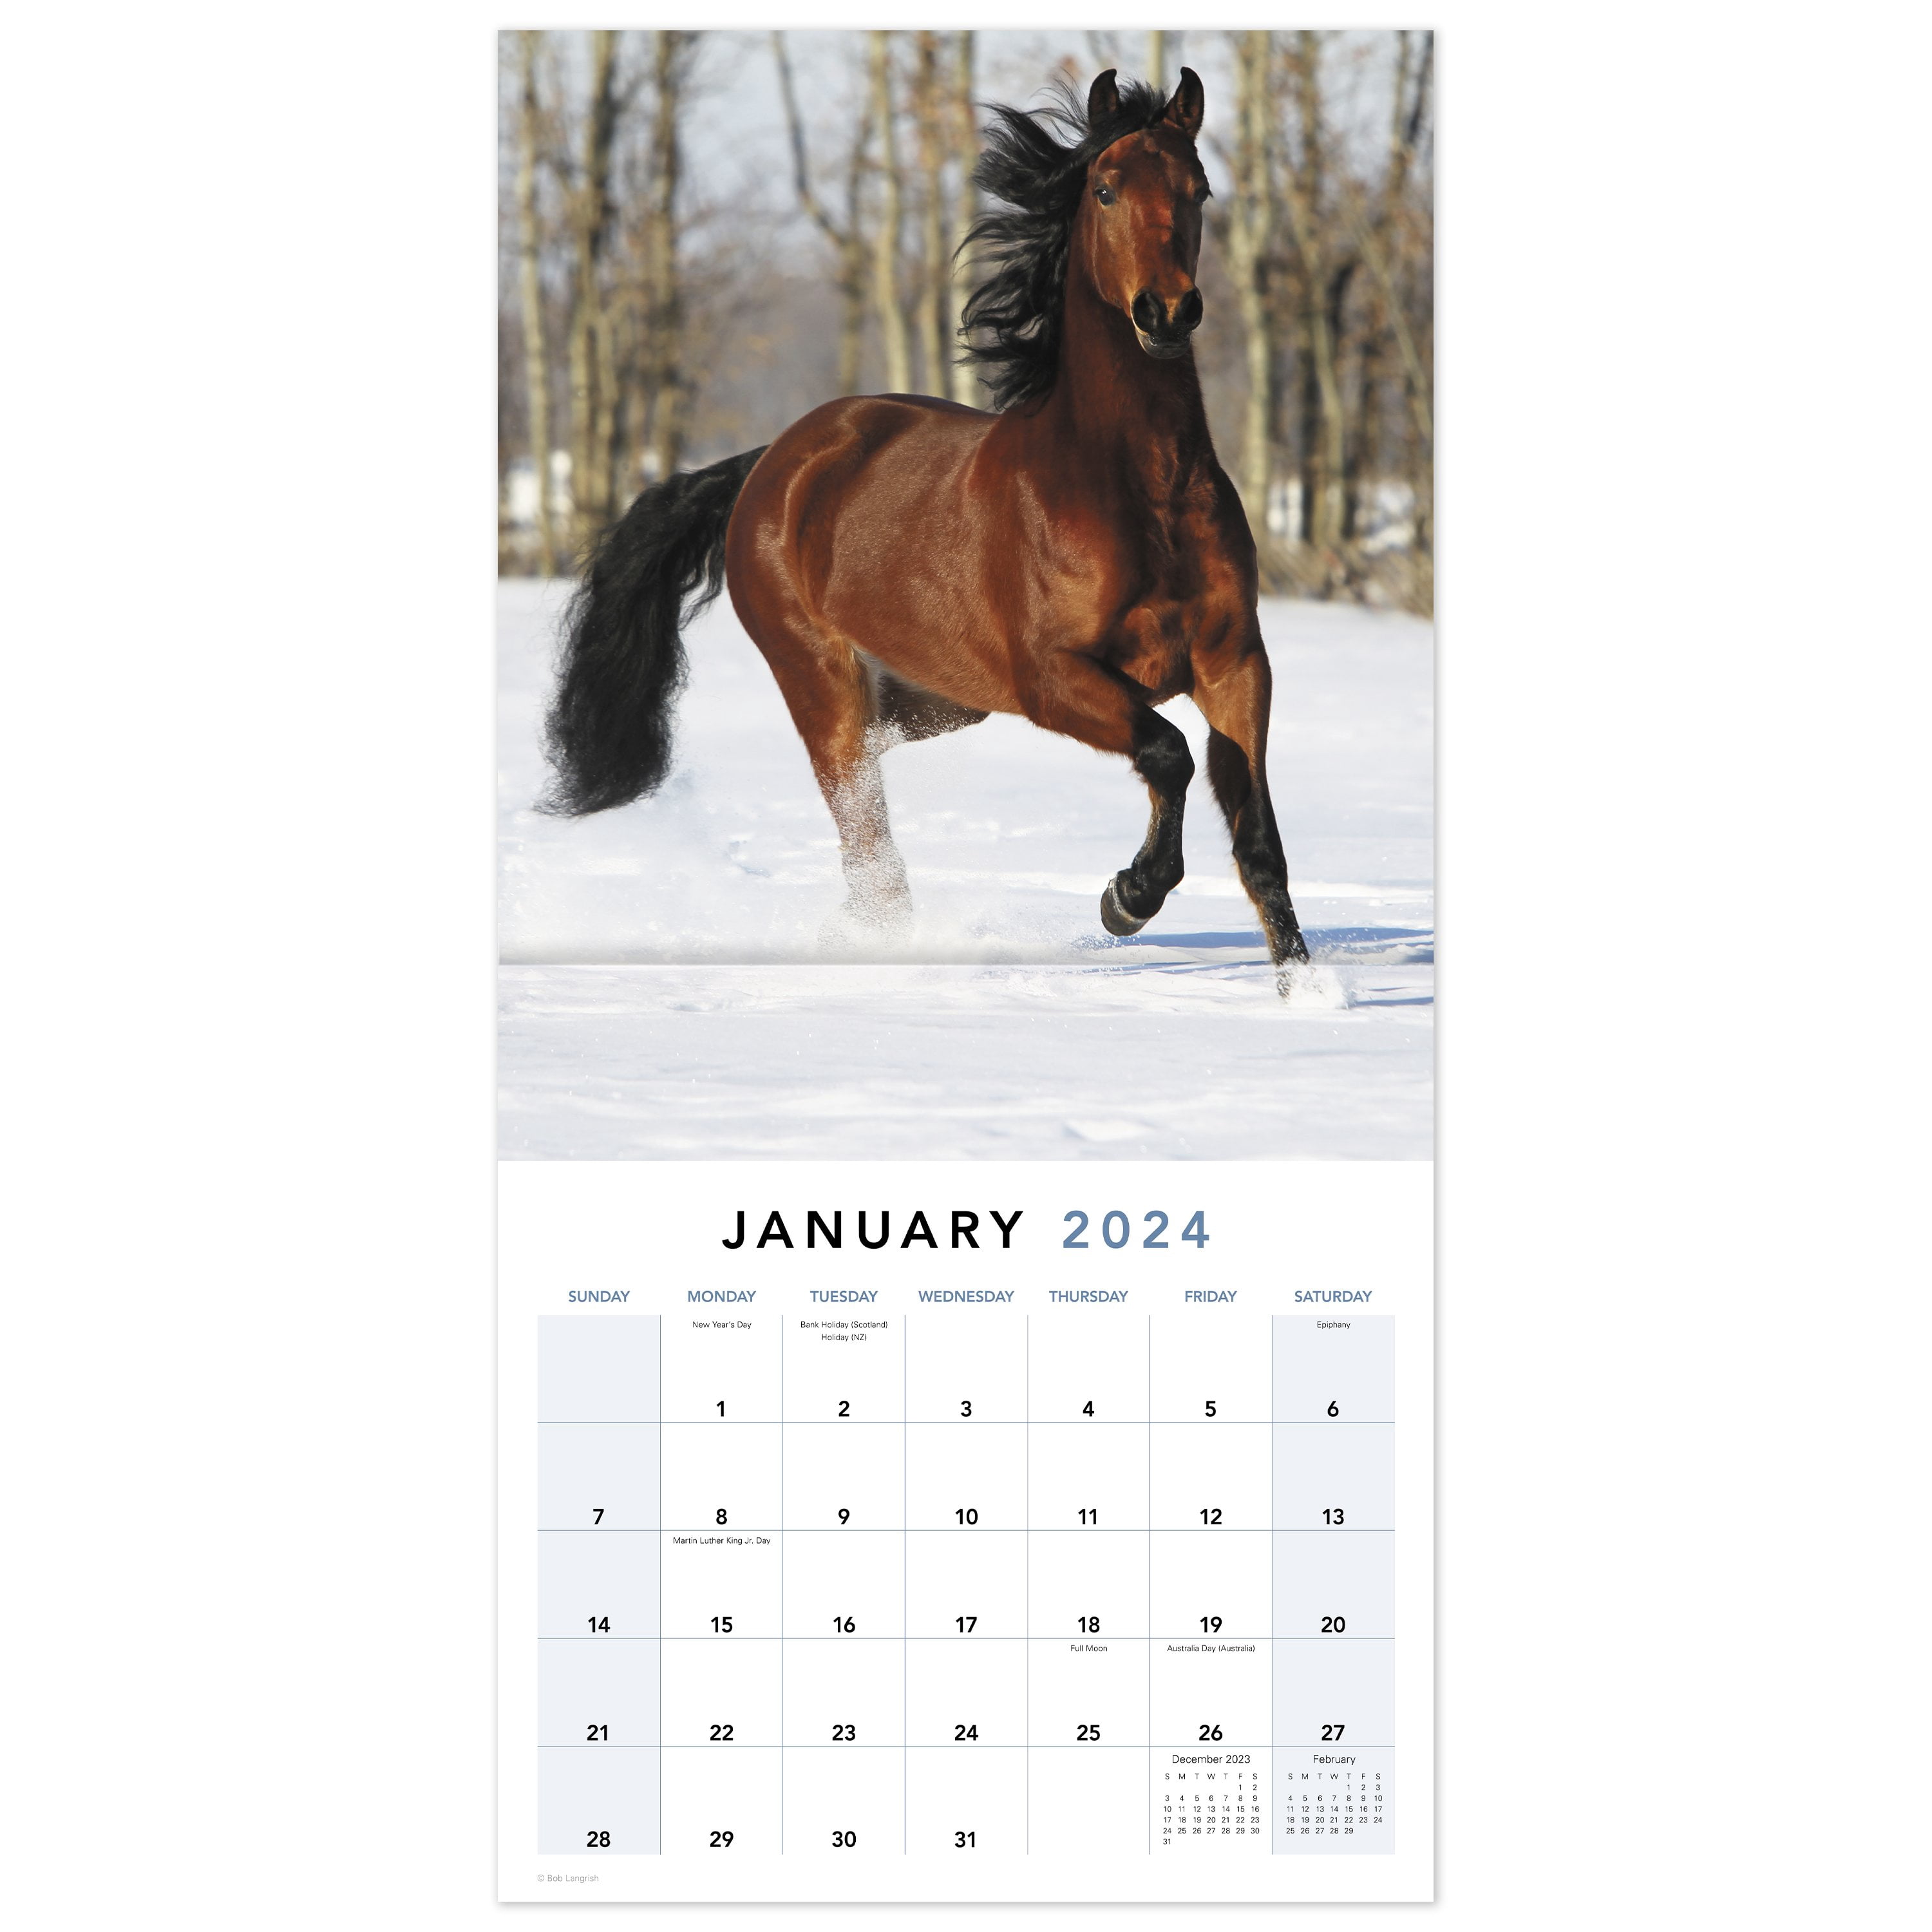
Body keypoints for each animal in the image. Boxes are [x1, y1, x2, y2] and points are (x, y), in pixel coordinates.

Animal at [539, 66, 1311, 993]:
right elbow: (1168, 753)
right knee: (867, 844)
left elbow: (1258, 836)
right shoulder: (1052, 678)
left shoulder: (1236, 666)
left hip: (936, 698)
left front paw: (1308, 989)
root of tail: (772, 464)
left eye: (1198, 190)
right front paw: (1128, 897)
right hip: (823, 687)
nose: (1166, 313)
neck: (1139, 492)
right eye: (1107, 188)